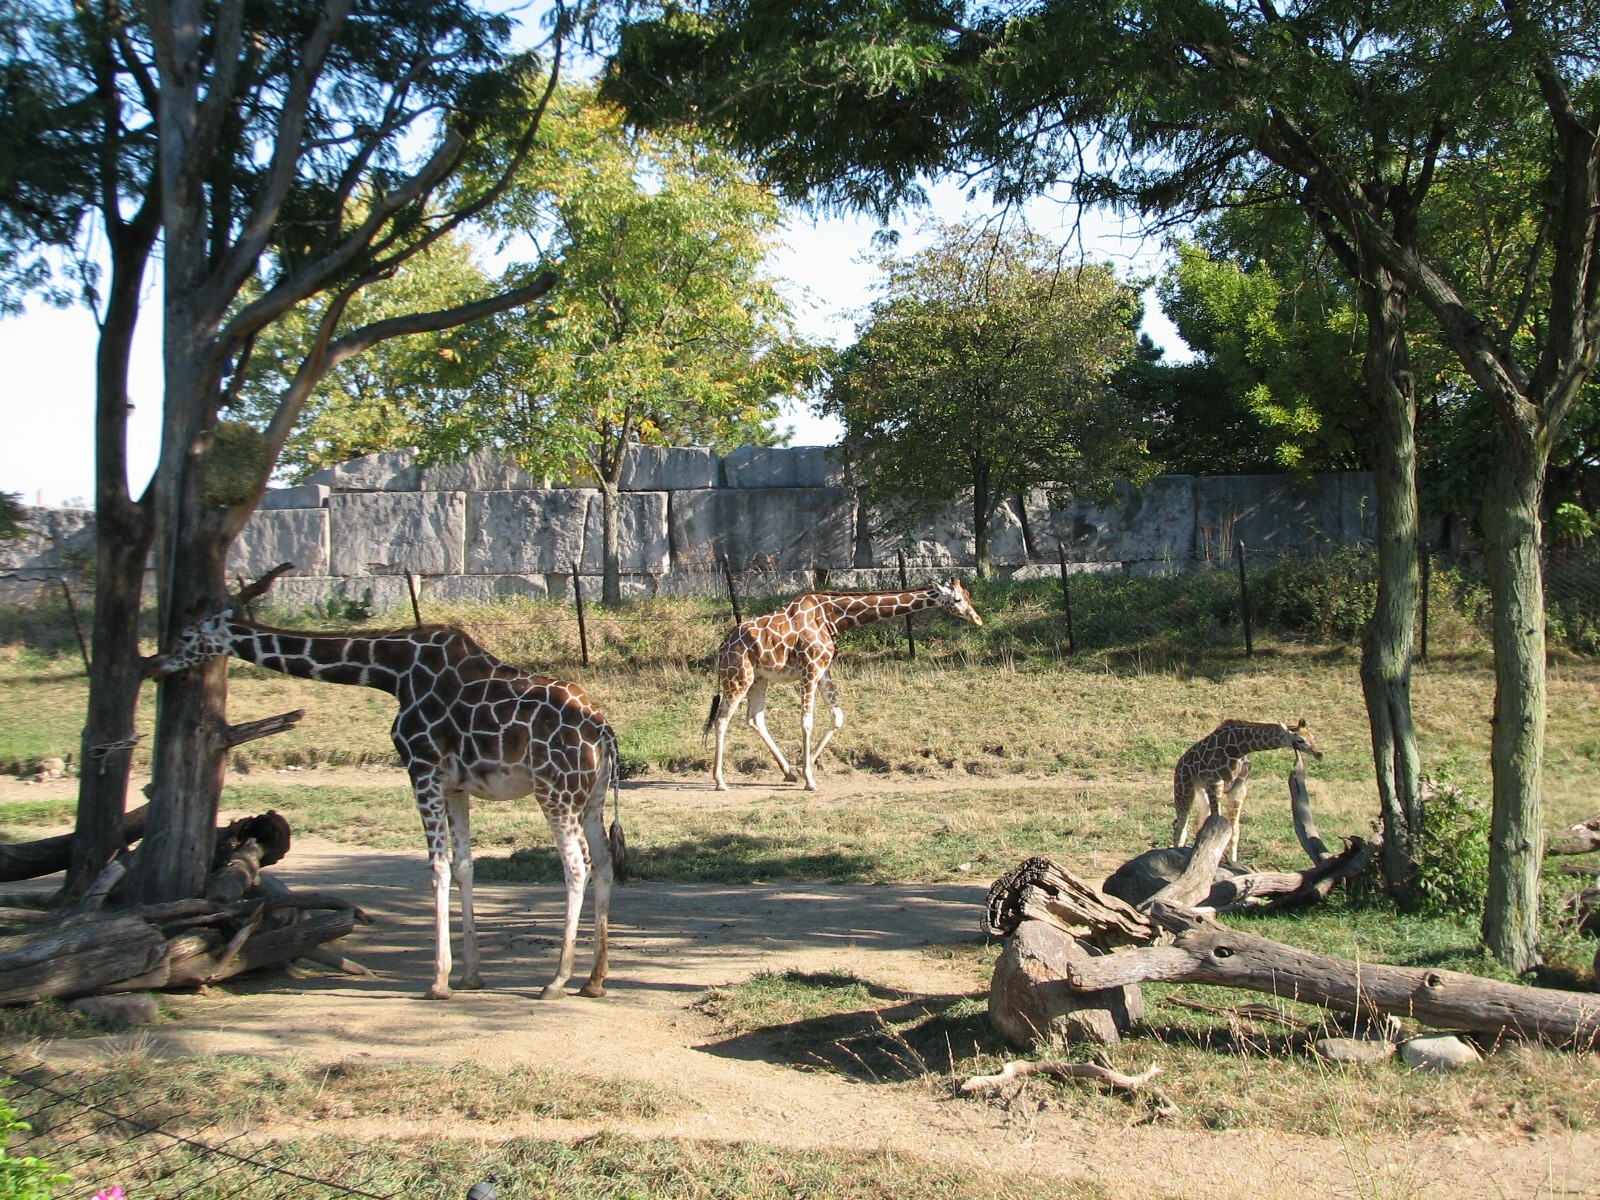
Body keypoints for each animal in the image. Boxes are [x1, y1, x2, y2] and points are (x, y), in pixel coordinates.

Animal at [147, 612, 619, 1001]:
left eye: (187, 635)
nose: (156, 664)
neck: (390, 671)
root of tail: (603, 730)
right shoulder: (456, 786)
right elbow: (464, 866)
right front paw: (470, 976)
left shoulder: (421, 768)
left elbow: (437, 867)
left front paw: (438, 982)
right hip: (590, 798)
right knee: (603, 862)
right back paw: (593, 980)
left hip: (555, 791)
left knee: (575, 865)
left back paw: (556, 981)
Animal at [703, 579, 984, 791]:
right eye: (958, 600)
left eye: (968, 596)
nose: (978, 620)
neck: (832, 618)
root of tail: (722, 646)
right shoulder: (810, 668)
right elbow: (807, 722)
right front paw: (810, 780)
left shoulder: (823, 669)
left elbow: (838, 716)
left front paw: (804, 768)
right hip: (737, 676)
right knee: (722, 718)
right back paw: (720, 781)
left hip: (758, 679)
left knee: (754, 718)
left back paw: (787, 772)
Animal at [1172, 718, 1322, 863]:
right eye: (1300, 740)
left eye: (1313, 737)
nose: (1319, 754)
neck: (1239, 748)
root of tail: (1179, 765)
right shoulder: (1215, 783)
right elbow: (1217, 825)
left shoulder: (1238, 789)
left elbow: (1234, 832)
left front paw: (1232, 862)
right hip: (1184, 789)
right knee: (1180, 826)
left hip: (1201, 795)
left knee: (1195, 826)